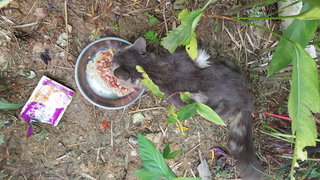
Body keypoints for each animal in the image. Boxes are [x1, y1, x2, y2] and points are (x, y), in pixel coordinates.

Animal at [111, 37, 262, 179]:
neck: (148, 67)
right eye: (116, 54)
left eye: (113, 61)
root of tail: (245, 100)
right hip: (231, 65)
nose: (111, 57)